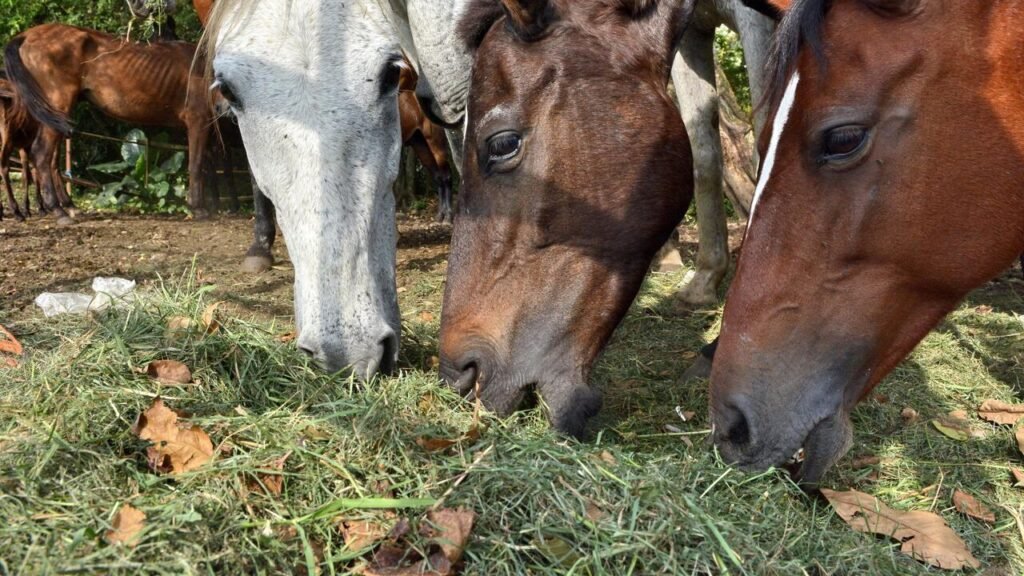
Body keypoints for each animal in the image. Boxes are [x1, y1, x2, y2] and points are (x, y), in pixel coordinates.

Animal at [3, 24, 215, 225]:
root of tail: (26, 35)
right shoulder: (198, 120)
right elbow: (197, 164)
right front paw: (198, 208)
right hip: (56, 107)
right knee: (41, 154)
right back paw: (58, 211)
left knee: (51, 160)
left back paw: (67, 206)